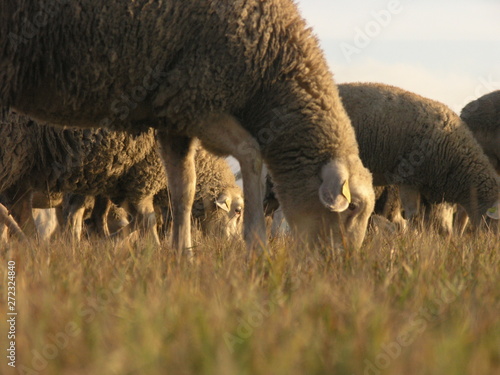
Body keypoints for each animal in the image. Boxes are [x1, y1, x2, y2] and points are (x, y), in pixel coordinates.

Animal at [0, 0, 376, 254]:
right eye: (353, 207)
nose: (342, 261)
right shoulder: (199, 99)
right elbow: (250, 153)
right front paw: (256, 244)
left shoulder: (175, 113)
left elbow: (183, 190)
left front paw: (183, 254)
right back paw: (28, 244)